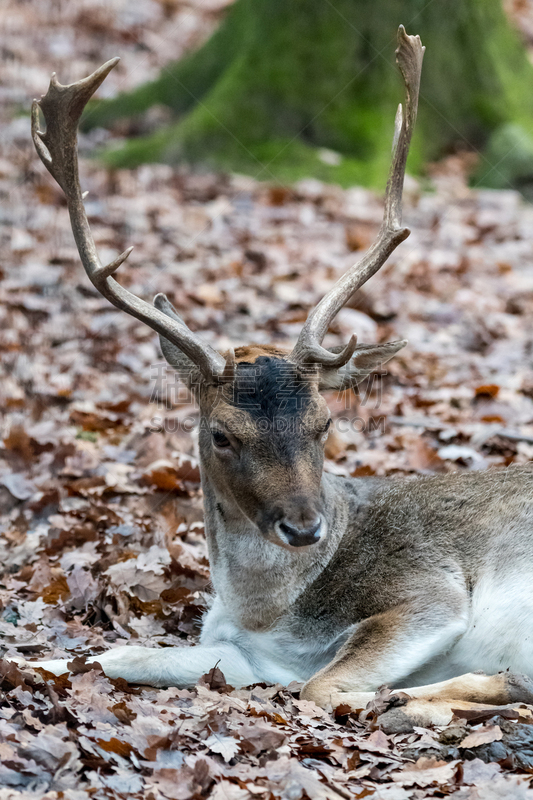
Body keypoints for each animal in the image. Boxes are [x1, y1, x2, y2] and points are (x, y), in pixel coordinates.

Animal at [14, 29, 532, 732]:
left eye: (324, 422)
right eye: (223, 435)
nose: (305, 528)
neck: (264, 614)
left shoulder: (429, 589)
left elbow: (323, 686)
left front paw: (420, 701)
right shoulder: (244, 654)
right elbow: (126, 654)